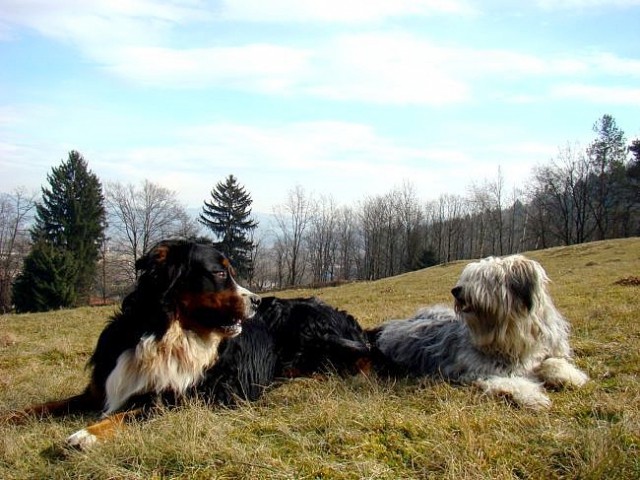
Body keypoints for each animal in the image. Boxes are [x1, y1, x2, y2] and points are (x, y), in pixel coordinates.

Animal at [5, 238, 368, 448]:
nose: (257, 301)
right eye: (219, 273)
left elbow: (133, 412)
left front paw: (88, 434)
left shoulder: (192, 396)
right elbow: (44, 406)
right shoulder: (101, 388)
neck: (164, 334)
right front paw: (10, 417)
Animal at [370, 255, 592, 408]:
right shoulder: (476, 370)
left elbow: (552, 361)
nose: (456, 290)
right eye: (468, 277)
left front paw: (570, 376)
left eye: (486, 278)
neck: (506, 337)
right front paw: (533, 396)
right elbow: (508, 381)